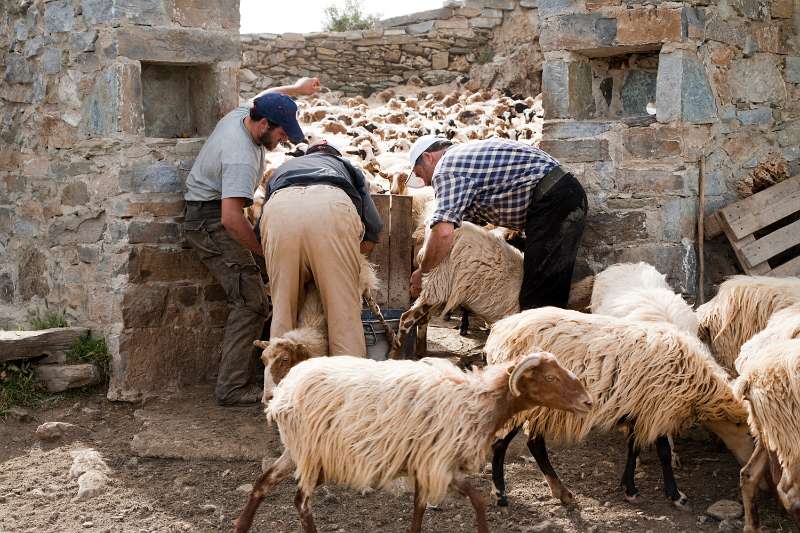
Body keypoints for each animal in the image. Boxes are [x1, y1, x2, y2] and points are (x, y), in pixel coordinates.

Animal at [231, 350, 592, 532]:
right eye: (550, 377)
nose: (588, 402)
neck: (478, 401)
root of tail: (283, 393)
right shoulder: (438, 463)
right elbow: (469, 500)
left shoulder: (429, 463)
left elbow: (435, 505)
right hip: (313, 453)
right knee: (301, 502)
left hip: (295, 451)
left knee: (263, 483)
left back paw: (241, 527)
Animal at [484, 308, 752, 512]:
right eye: (749, 432)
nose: (746, 465)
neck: (697, 385)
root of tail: (500, 331)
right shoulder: (658, 409)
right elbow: (663, 453)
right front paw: (676, 496)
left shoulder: (639, 409)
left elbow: (633, 448)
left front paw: (628, 487)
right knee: (503, 444)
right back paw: (501, 495)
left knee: (533, 444)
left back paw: (561, 492)